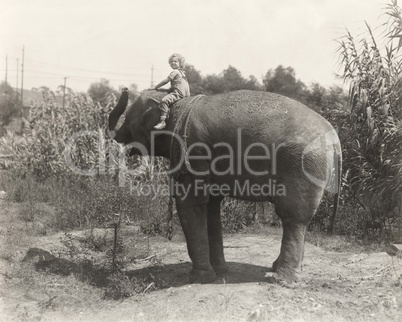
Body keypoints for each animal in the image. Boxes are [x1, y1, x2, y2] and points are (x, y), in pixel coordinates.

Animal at [108, 88, 340, 282]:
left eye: (129, 118)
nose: (125, 89)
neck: (176, 106)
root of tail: (334, 136)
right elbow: (211, 207)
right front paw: (220, 271)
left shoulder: (193, 154)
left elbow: (191, 203)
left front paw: (200, 278)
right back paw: (284, 269)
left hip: (304, 168)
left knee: (294, 217)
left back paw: (283, 279)